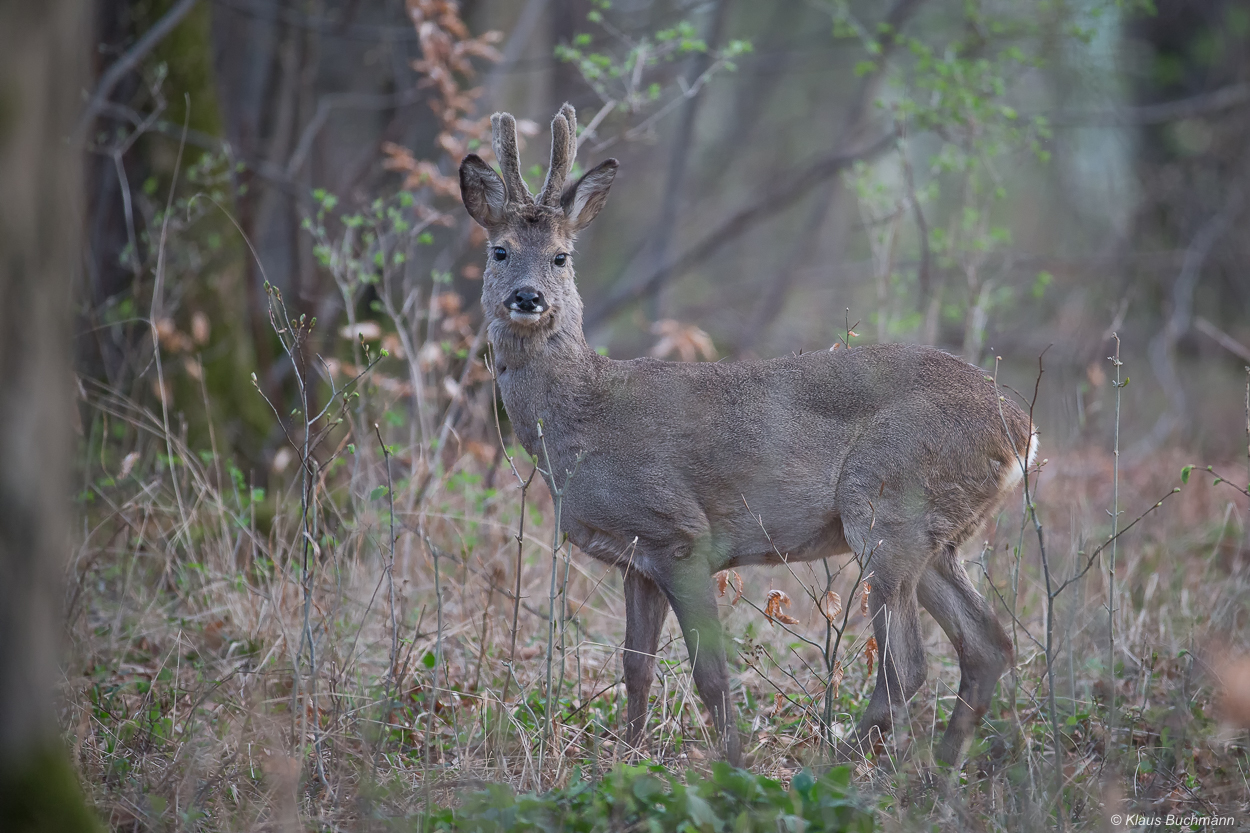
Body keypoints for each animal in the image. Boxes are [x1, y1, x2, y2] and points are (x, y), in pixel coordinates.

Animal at [460, 103, 1035, 765]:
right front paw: (628, 757)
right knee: (986, 645)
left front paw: (731, 764)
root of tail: (1020, 428)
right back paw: (936, 774)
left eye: (560, 256)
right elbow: (636, 668)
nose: (527, 298)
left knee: (907, 664)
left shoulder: (681, 534)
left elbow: (710, 674)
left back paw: (837, 765)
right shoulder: (637, 559)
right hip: (937, 537)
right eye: (499, 251)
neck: (582, 421)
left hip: (887, 504)